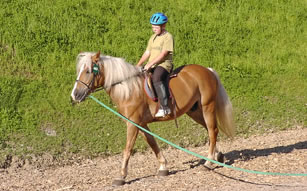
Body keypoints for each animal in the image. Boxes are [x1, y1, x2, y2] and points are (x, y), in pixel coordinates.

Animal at [71, 50, 236, 185]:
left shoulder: (133, 123)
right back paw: (217, 156)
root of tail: (207, 70)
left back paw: (208, 163)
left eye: (88, 71)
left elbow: (128, 149)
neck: (129, 89)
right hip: (194, 111)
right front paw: (163, 167)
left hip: (207, 106)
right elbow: (152, 143)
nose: (75, 95)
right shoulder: (141, 124)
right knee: (210, 130)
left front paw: (121, 176)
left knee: (212, 130)